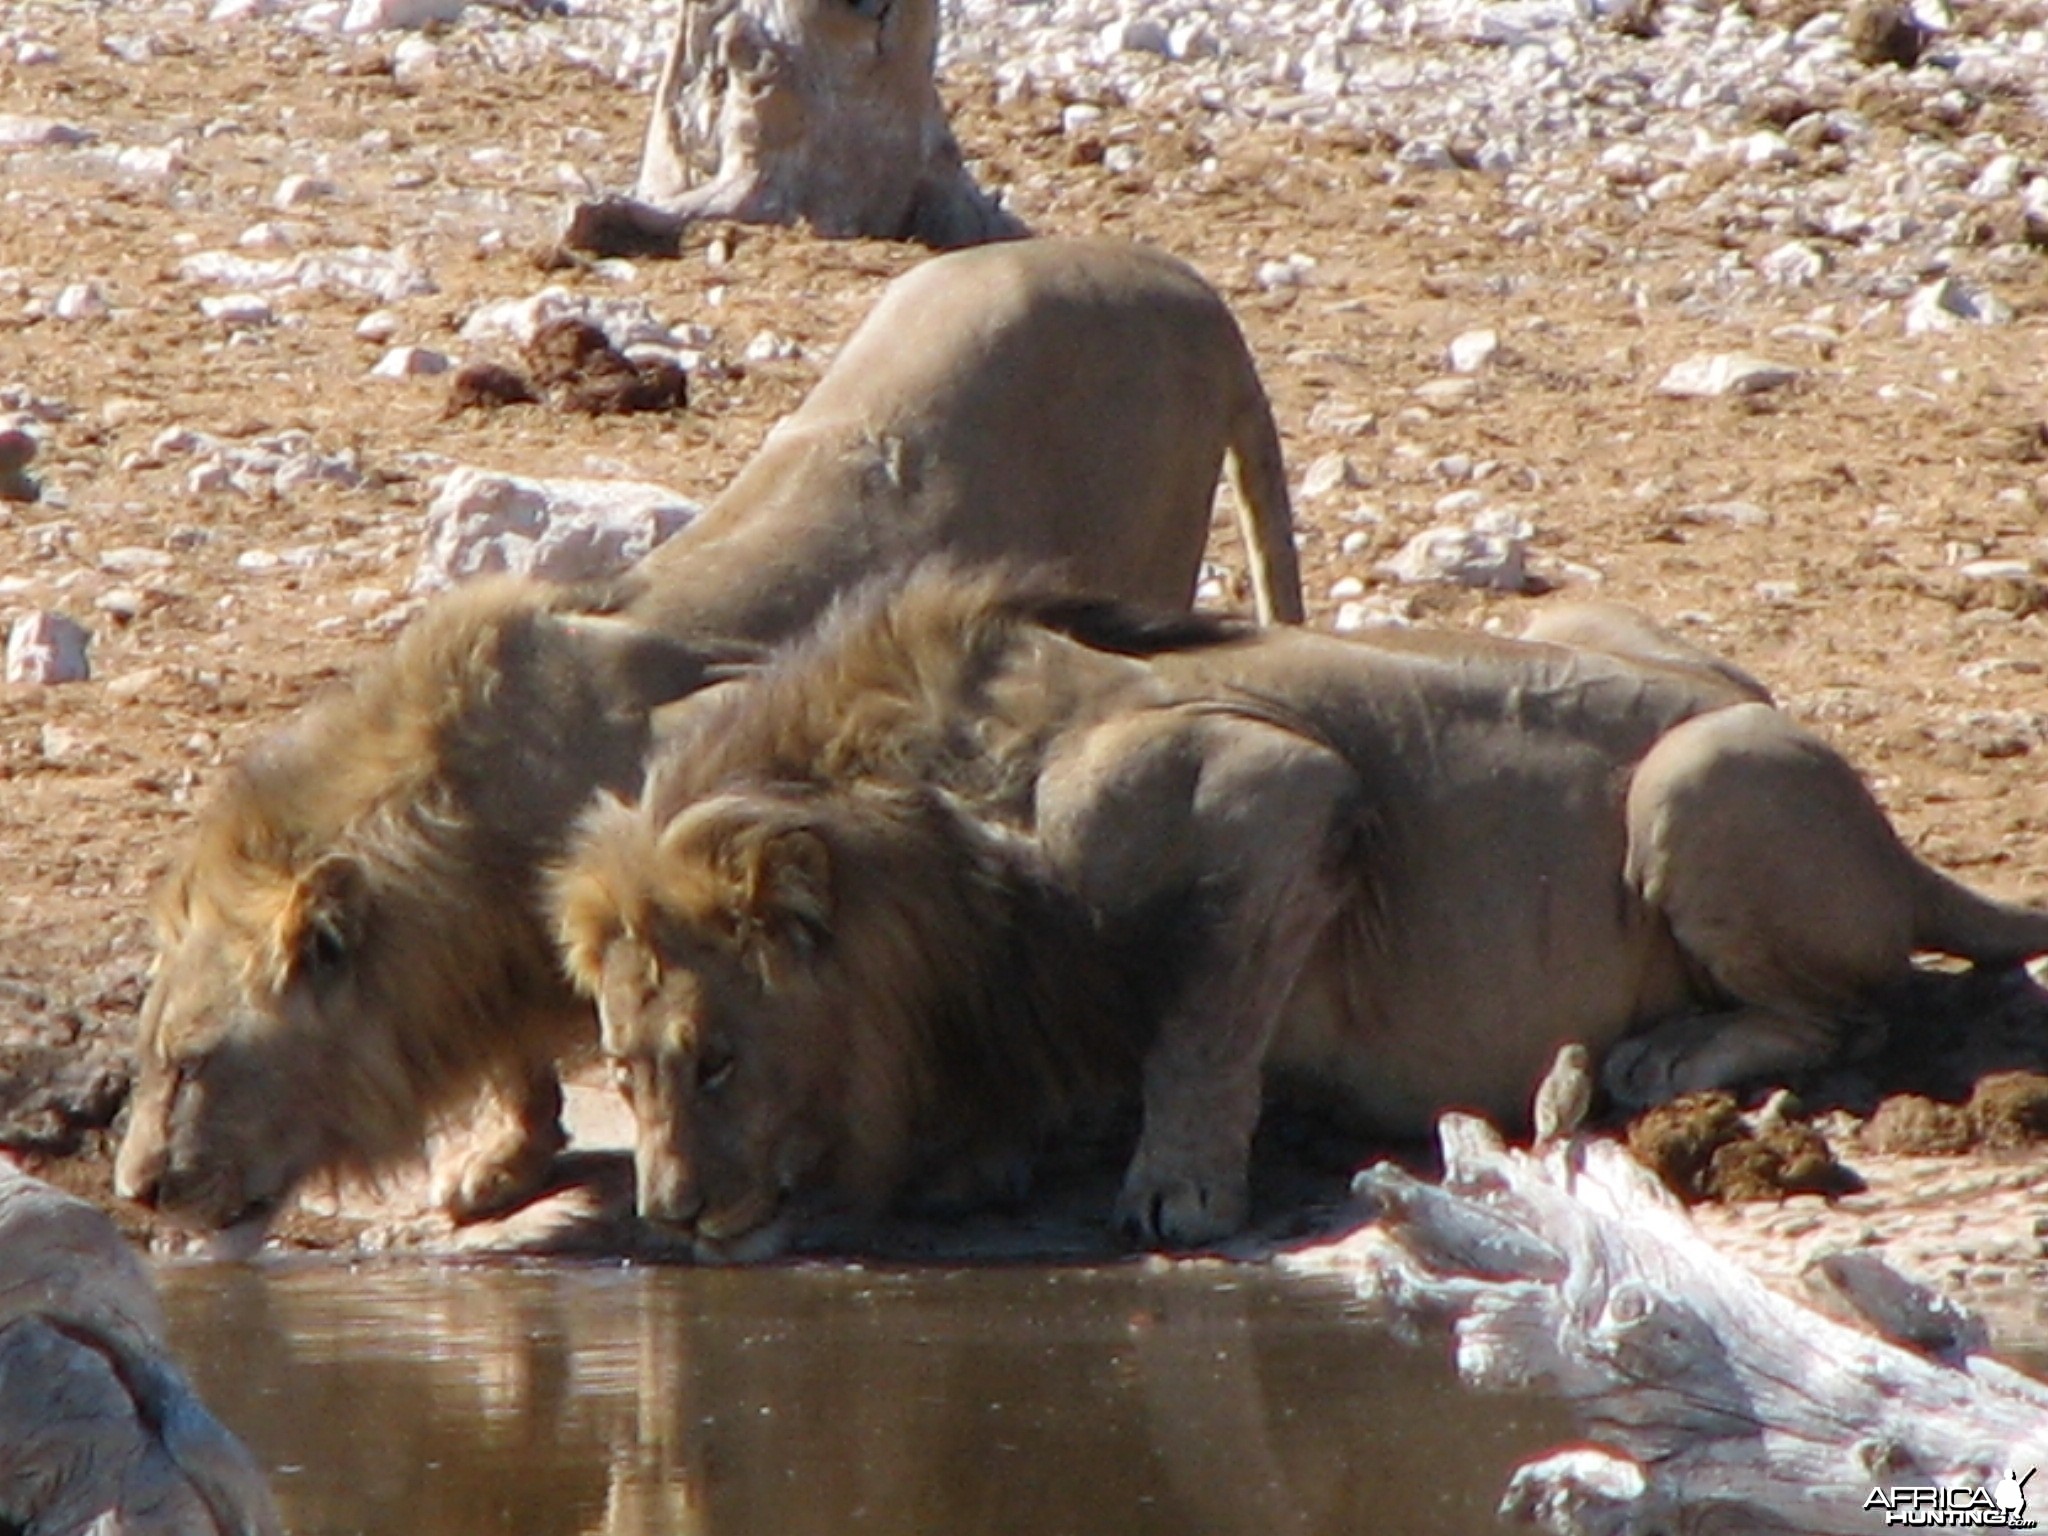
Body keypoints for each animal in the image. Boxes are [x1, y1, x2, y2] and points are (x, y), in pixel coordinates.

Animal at [552, 573, 2048, 1253]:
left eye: (718, 1059)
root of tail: (1896, 841)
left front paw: (1177, 1189)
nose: (668, 1215)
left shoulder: (1274, 788)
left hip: (1700, 777)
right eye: (620, 1070)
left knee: (1854, 1011)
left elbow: (1203, 1017)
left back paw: (1666, 1054)